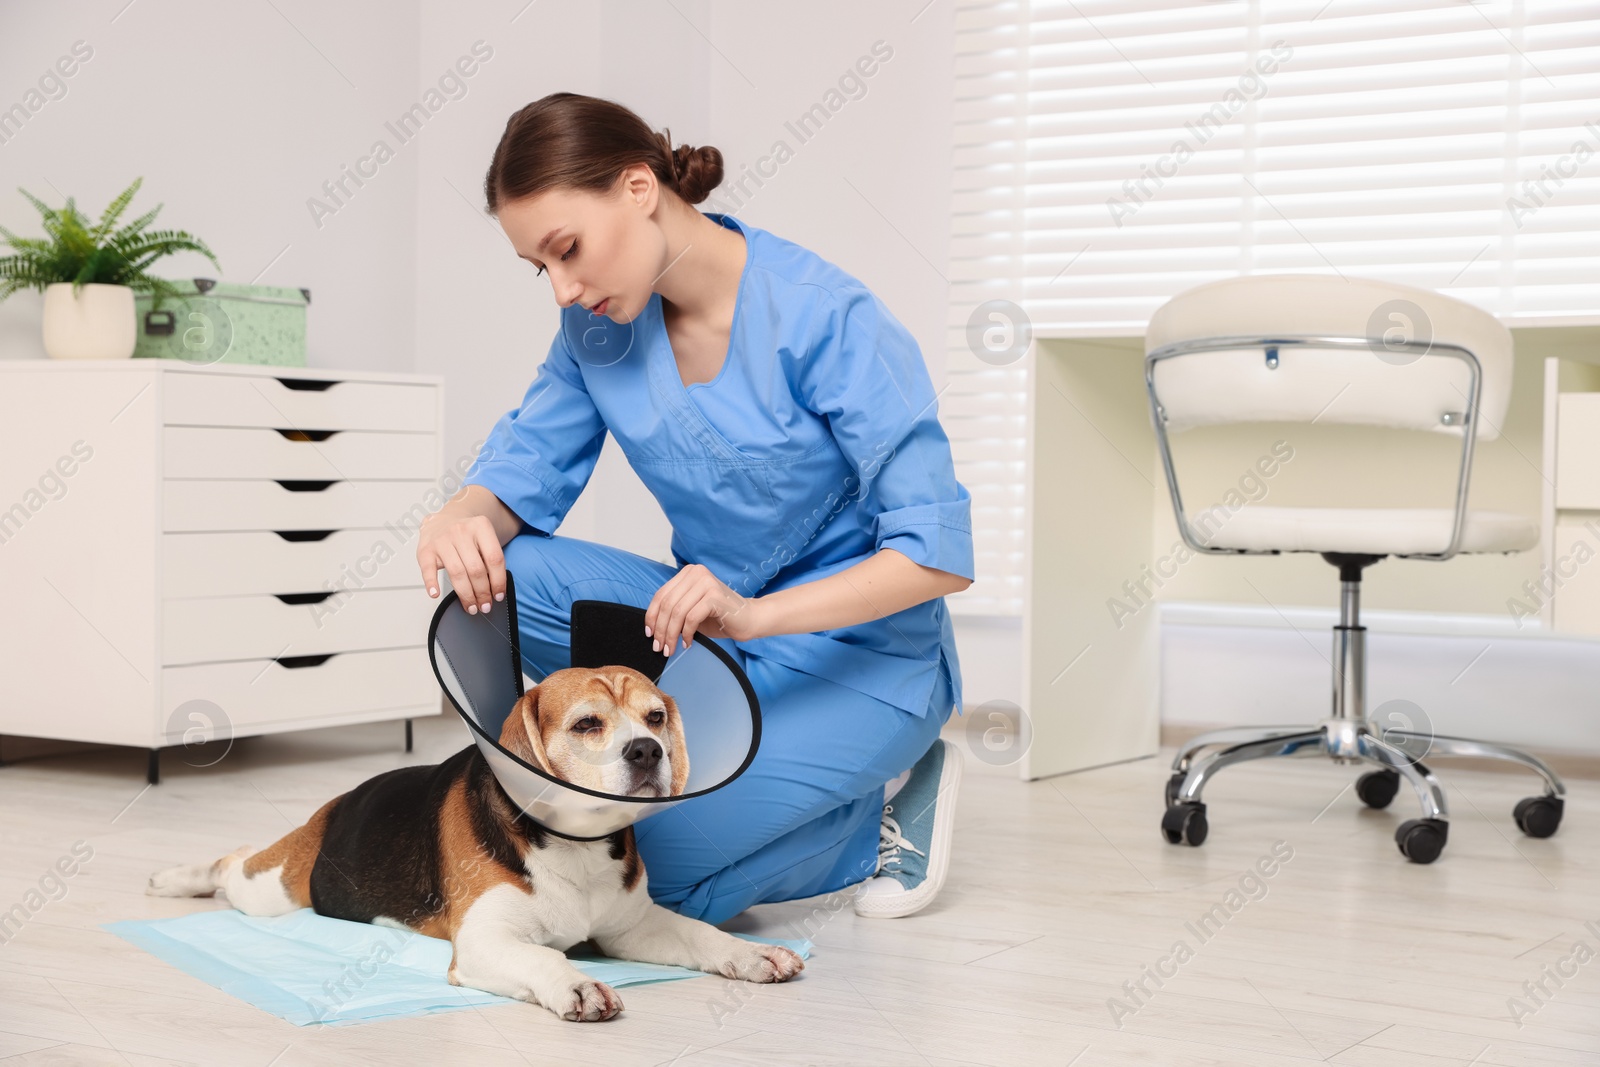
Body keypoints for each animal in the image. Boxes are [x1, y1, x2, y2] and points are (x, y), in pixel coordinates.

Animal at [145, 662, 806, 1023]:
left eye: (656, 718)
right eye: (588, 724)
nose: (648, 752)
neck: (576, 844)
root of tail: (338, 802)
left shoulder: (631, 928)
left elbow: (699, 934)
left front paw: (751, 954)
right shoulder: (486, 941)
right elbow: (545, 957)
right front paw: (575, 983)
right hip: (273, 888)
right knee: (230, 863)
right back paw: (173, 878)